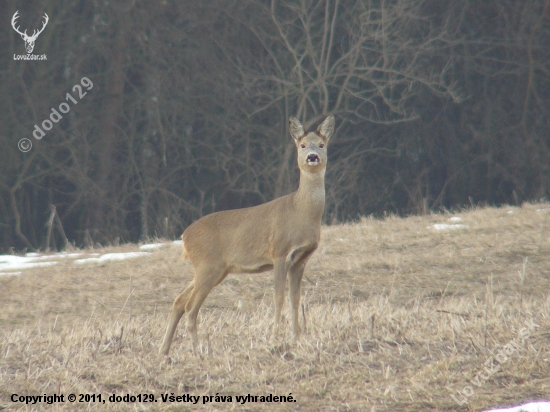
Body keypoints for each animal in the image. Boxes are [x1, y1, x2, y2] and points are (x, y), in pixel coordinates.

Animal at [160, 115, 336, 354]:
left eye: (321, 144)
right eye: (302, 145)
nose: (312, 157)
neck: (301, 212)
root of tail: (184, 237)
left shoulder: (300, 259)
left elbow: (295, 299)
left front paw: (296, 338)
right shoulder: (279, 252)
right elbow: (279, 297)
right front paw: (275, 337)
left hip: (213, 269)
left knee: (179, 300)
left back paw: (164, 350)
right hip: (209, 265)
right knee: (190, 306)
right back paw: (199, 349)